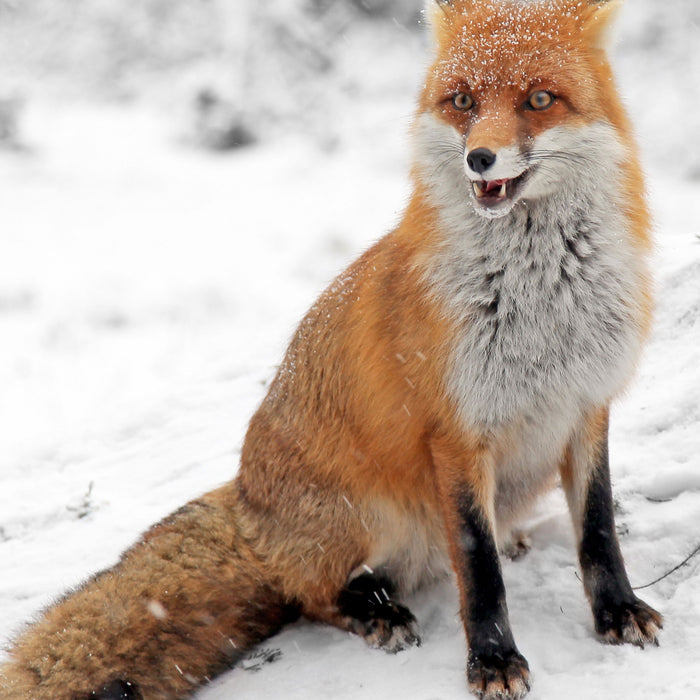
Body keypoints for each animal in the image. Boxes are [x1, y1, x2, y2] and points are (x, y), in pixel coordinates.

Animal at [0, 1, 660, 700]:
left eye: (538, 100)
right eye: (462, 101)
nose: (480, 158)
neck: (540, 303)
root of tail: (247, 504)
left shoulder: (586, 405)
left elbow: (597, 531)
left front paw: (618, 612)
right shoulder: (455, 434)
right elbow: (478, 568)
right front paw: (493, 659)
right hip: (369, 515)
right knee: (310, 593)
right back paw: (373, 610)